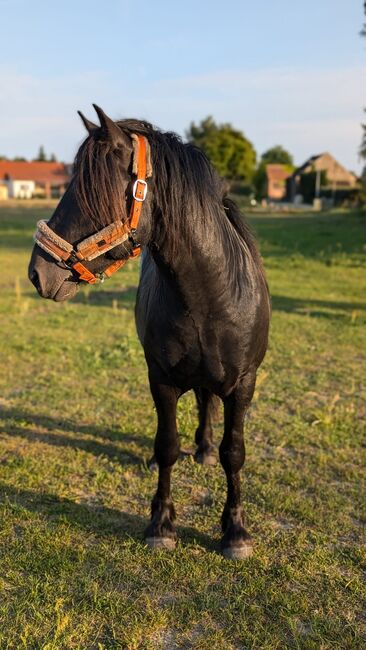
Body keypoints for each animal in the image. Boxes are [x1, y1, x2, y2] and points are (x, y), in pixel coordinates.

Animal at [29, 105, 268, 556]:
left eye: (91, 191)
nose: (38, 272)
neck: (210, 296)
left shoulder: (244, 383)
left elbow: (235, 452)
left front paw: (236, 531)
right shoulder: (161, 379)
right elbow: (168, 443)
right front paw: (161, 525)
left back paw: (205, 450)